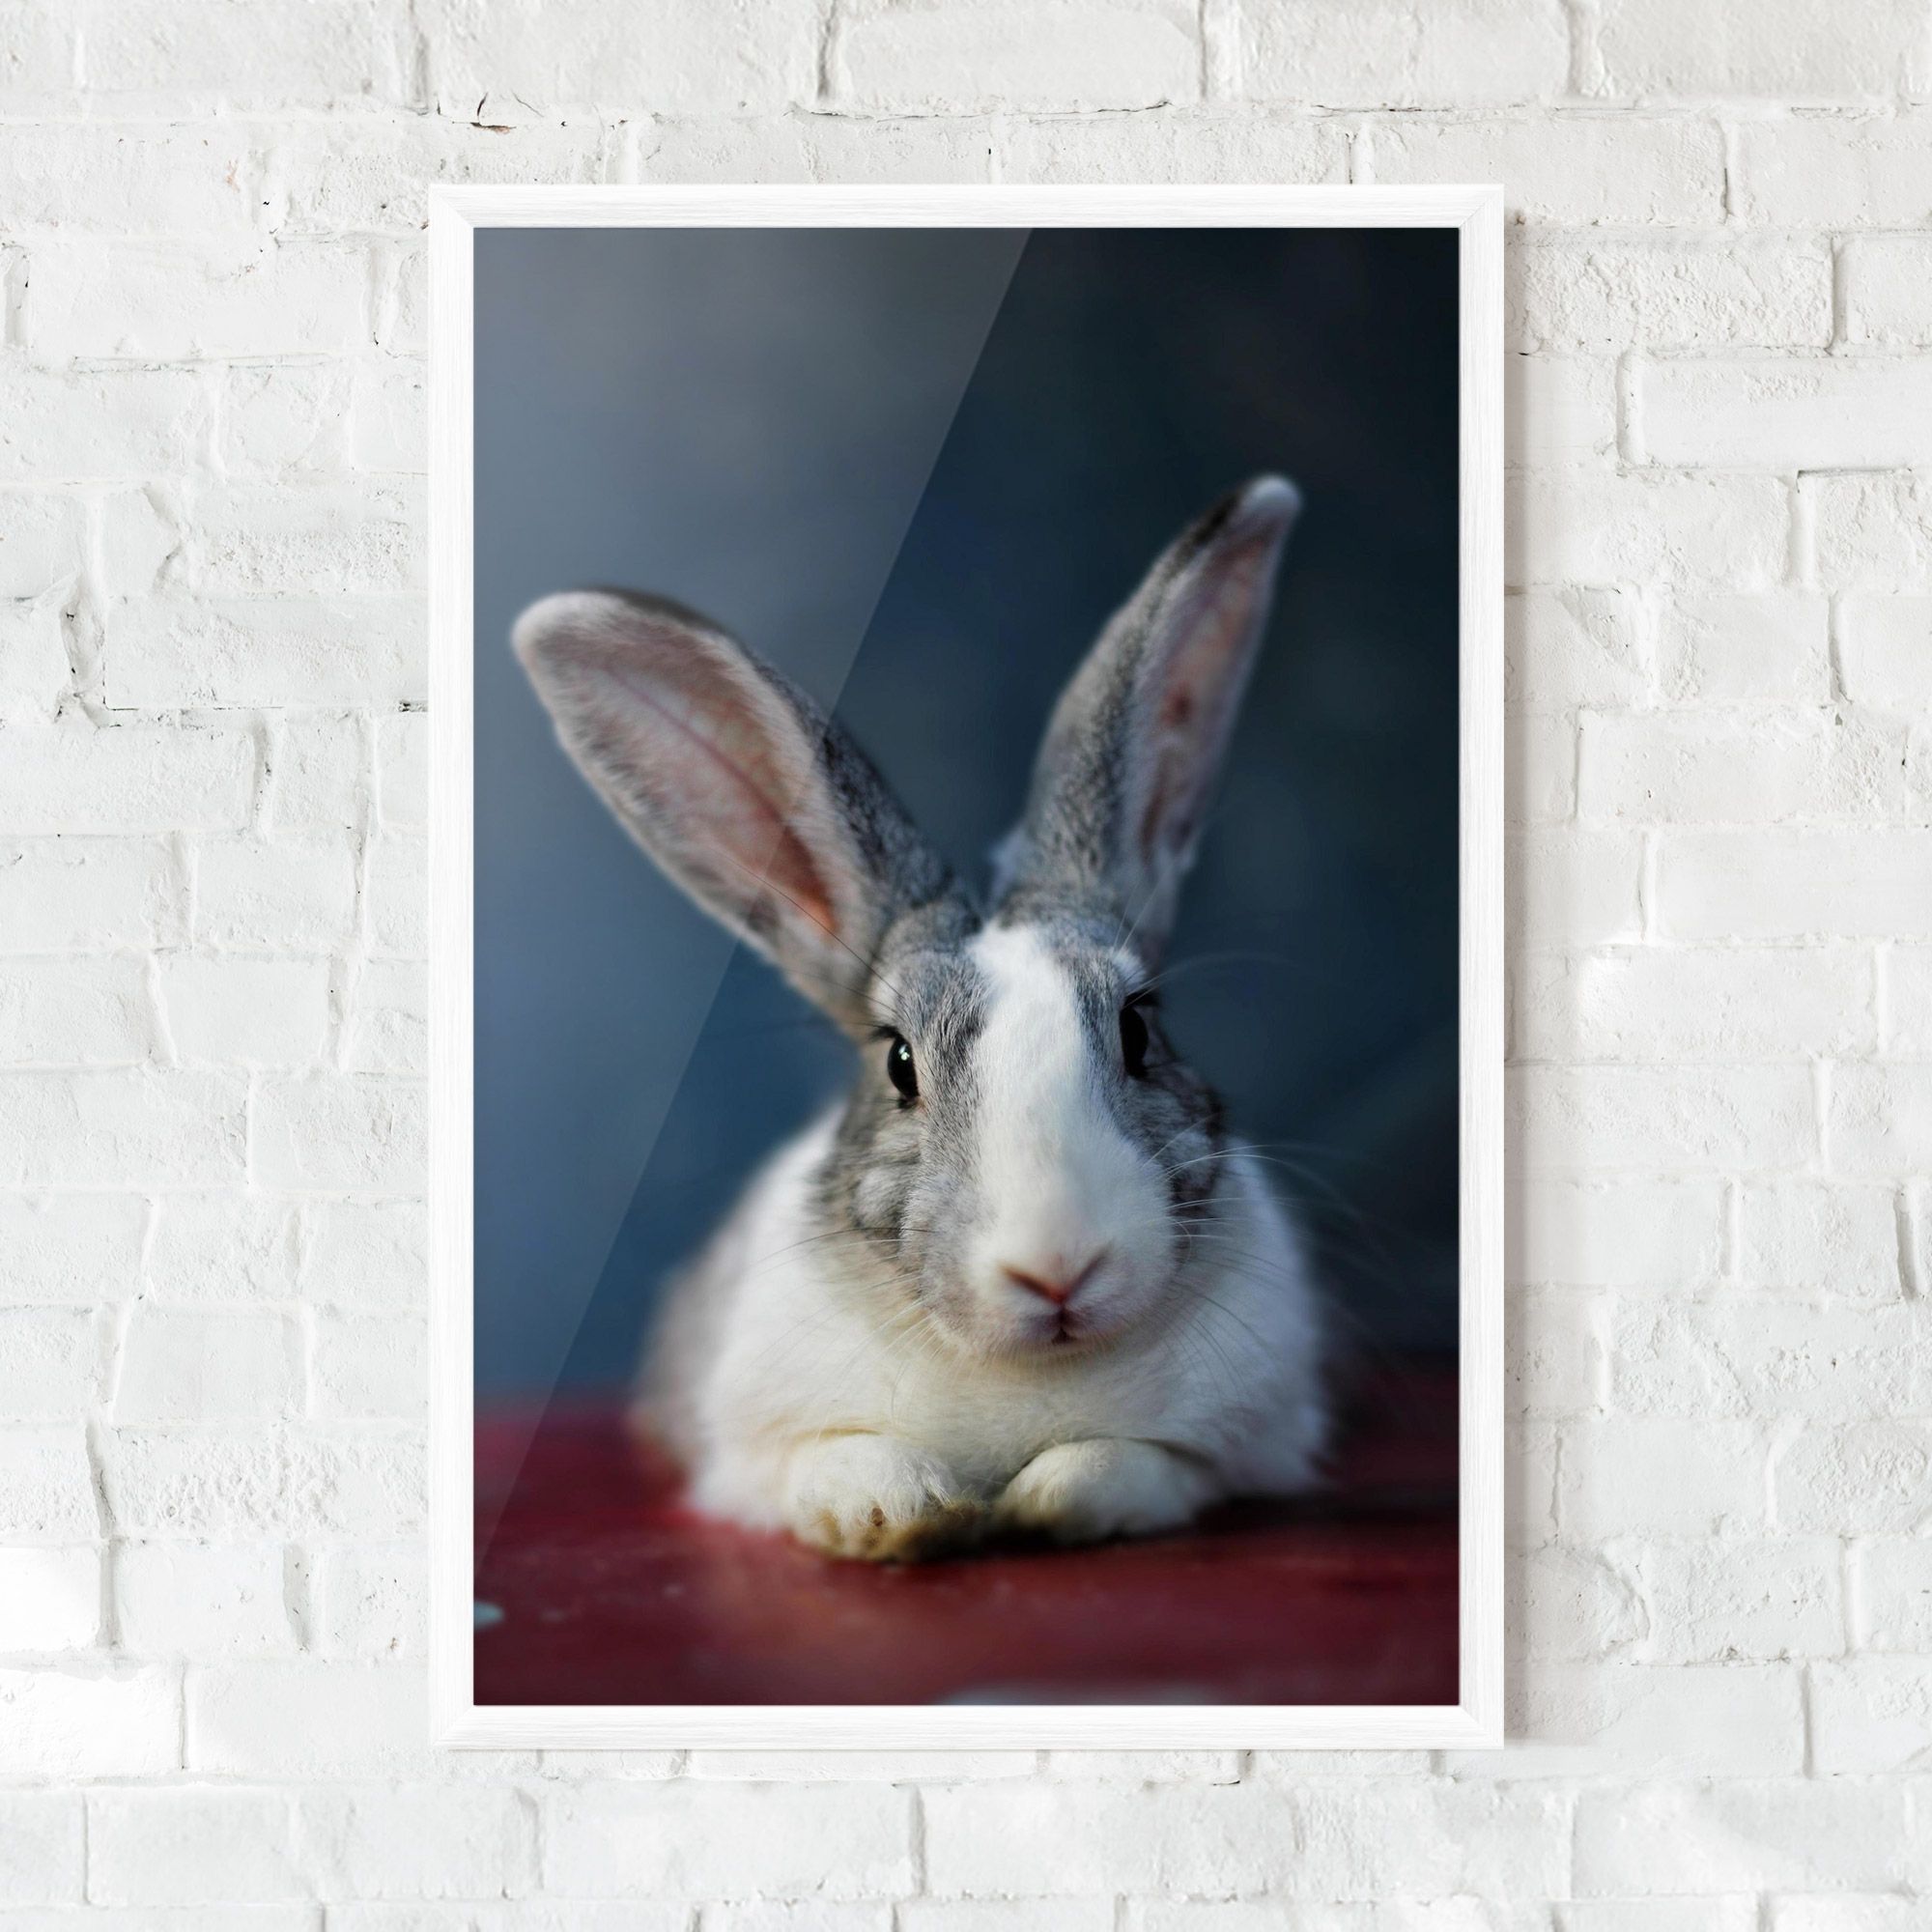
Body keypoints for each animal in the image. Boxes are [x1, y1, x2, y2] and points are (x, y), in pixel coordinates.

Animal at [514, 474, 1330, 1562]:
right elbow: (837, 1462)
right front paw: (903, 1513)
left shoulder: (1236, 1449)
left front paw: (1046, 1497)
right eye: (900, 1064)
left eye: (1139, 1029)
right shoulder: (749, 1454)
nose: (1058, 1268)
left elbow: (1132, 1464)